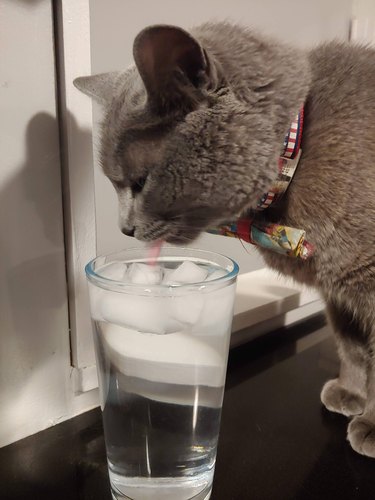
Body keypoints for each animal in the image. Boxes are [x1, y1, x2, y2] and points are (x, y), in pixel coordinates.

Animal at [75, 22, 375, 458]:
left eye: (140, 182)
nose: (124, 228)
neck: (295, 157)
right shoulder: (339, 294)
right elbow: (352, 346)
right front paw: (351, 393)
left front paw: (371, 424)